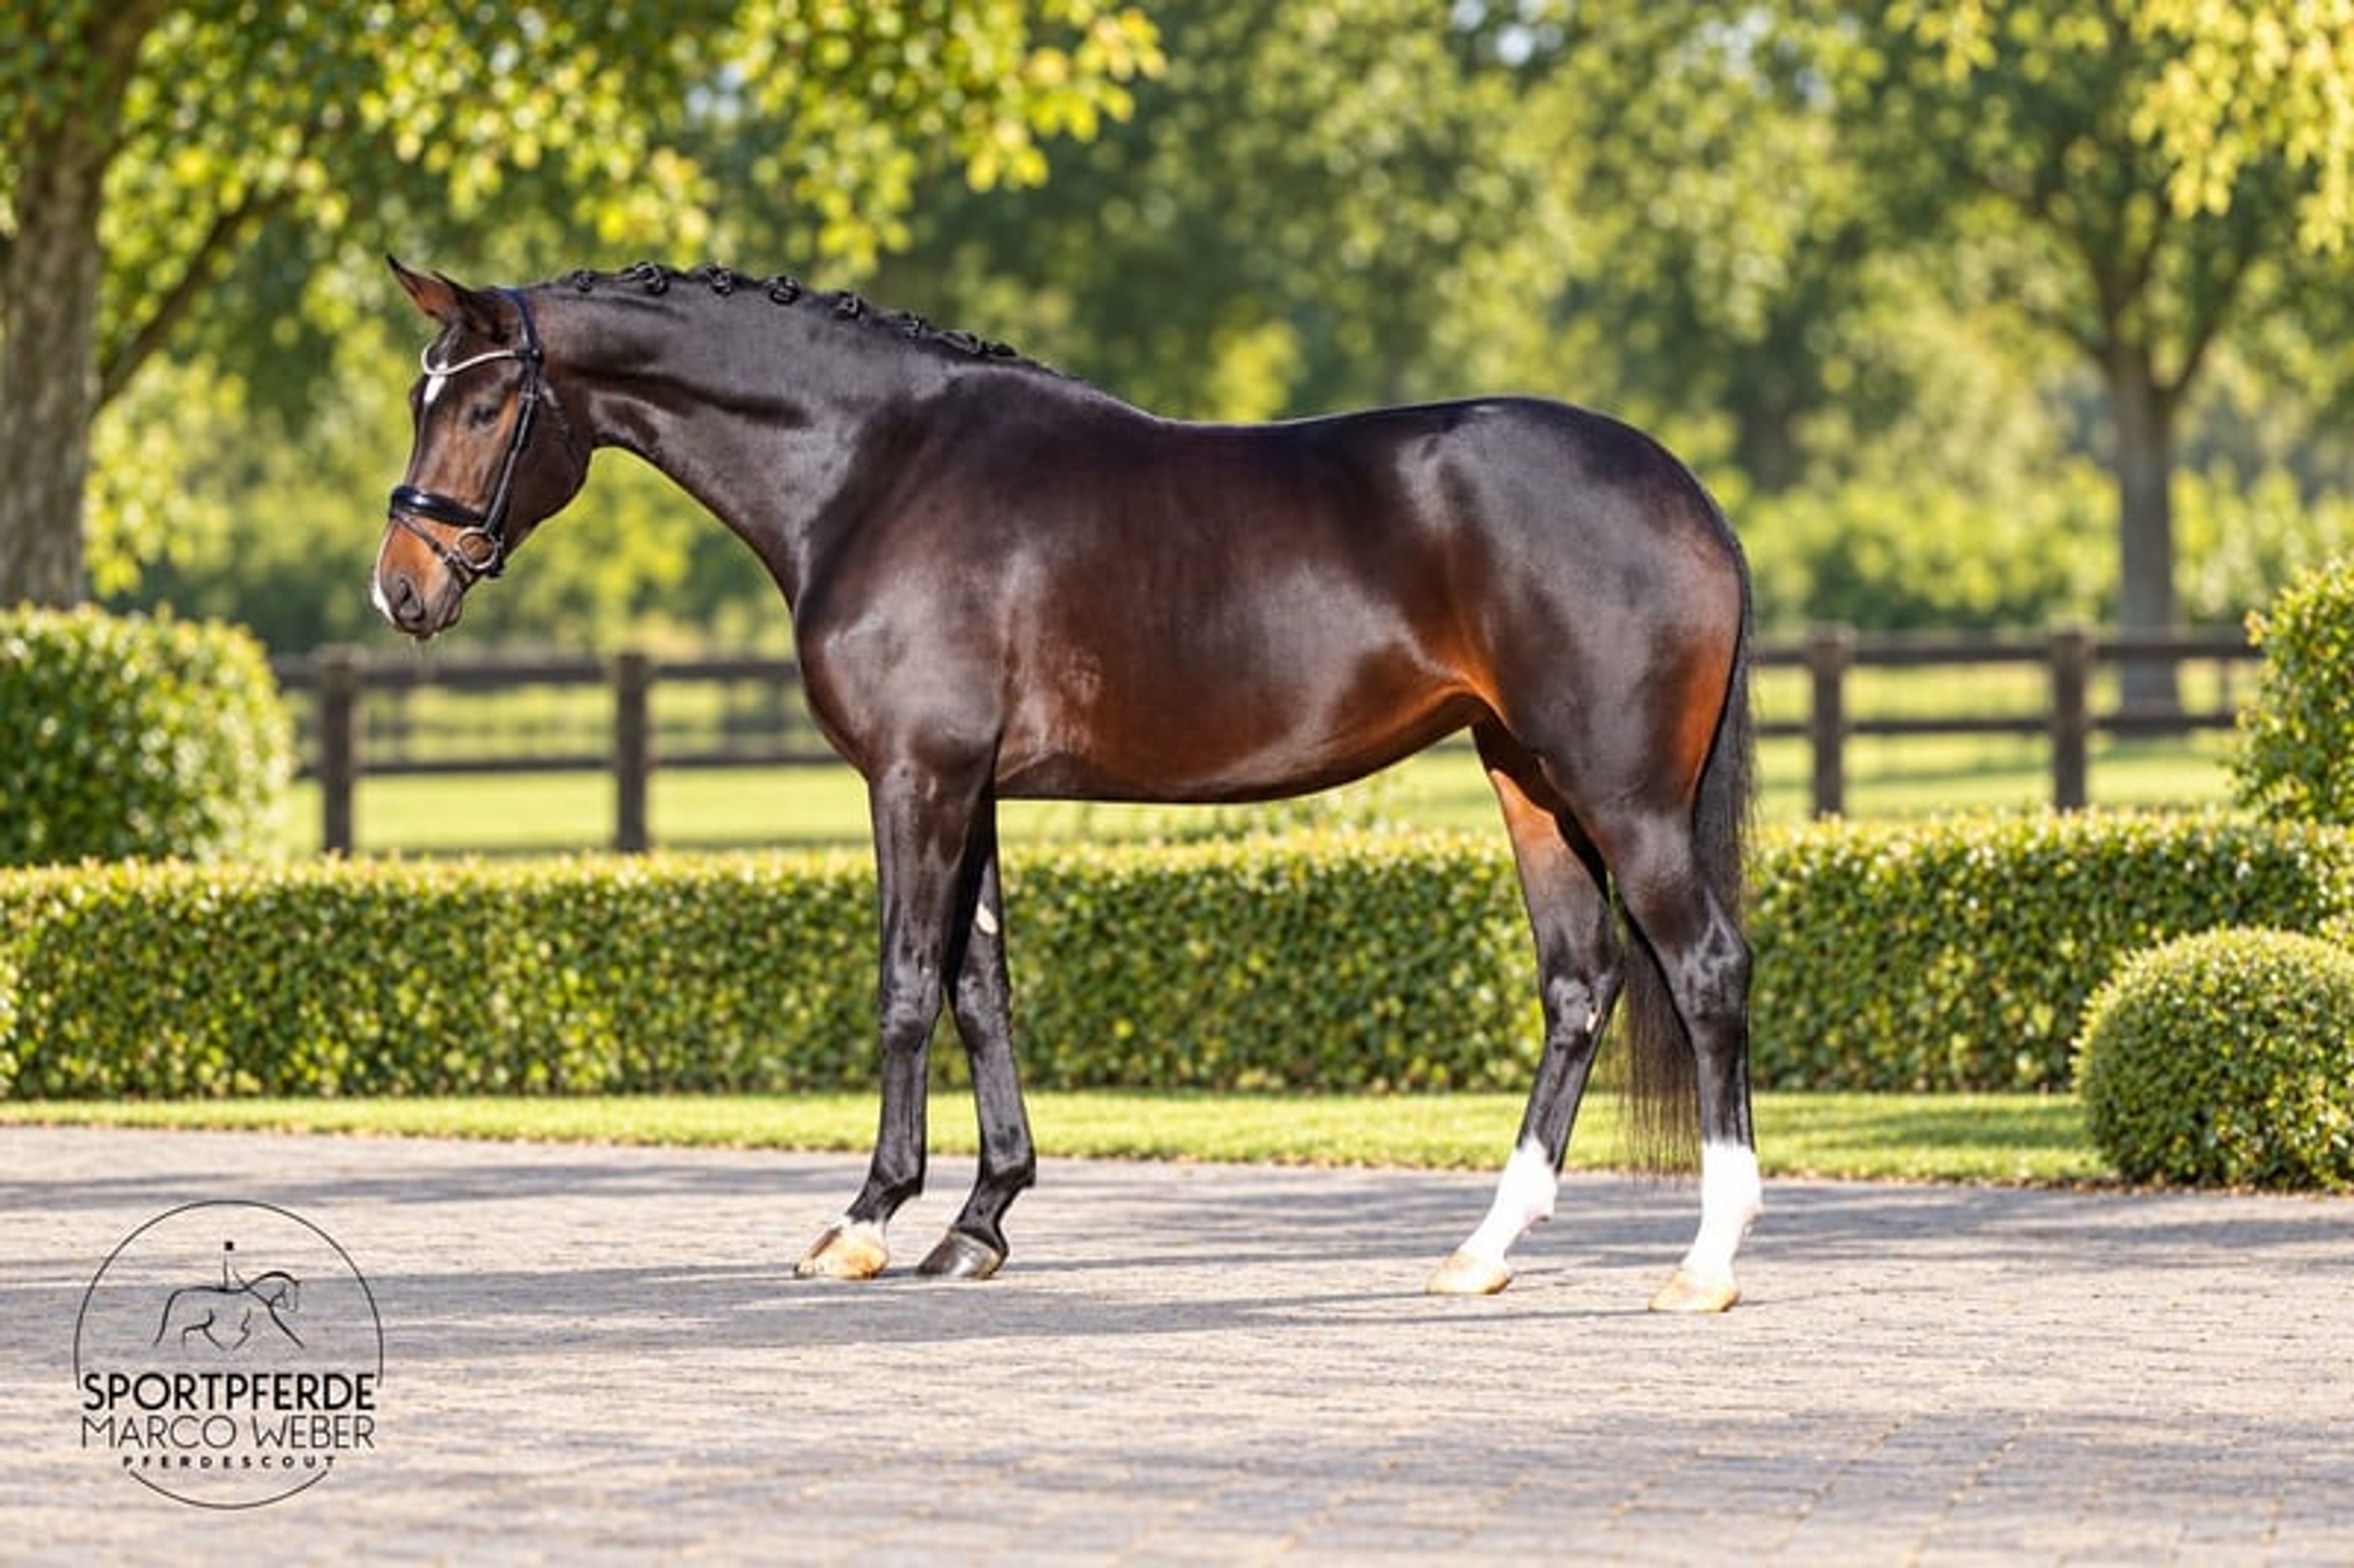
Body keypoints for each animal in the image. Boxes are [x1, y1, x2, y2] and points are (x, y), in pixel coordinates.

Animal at [374, 258, 1761, 1312]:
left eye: (484, 409)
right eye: (420, 393)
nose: (403, 586)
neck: (877, 468)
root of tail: (1686, 494)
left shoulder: (915, 777)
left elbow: (905, 987)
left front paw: (865, 1219)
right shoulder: (971, 787)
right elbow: (980, 990)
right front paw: (978, 1222)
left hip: (1622, 796)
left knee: (1705, 970)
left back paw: (1704, 1262)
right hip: (1528, 780)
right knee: (1579, 985)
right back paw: (1483, 1249)